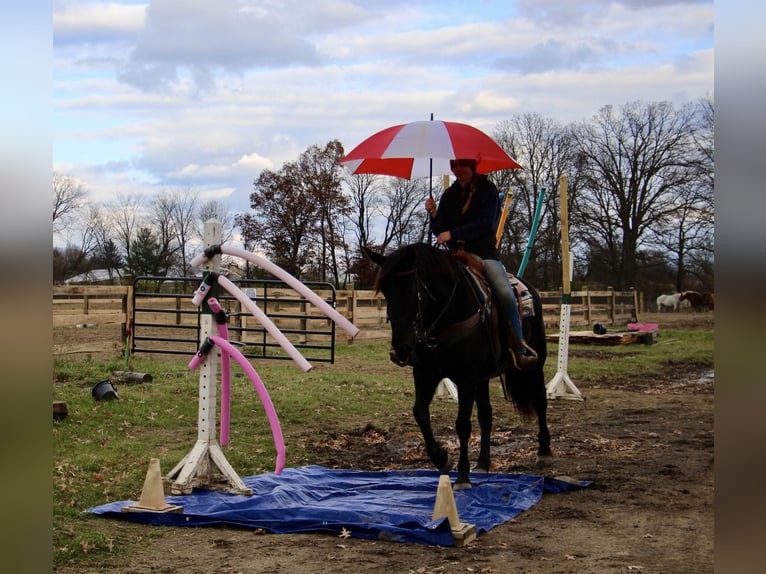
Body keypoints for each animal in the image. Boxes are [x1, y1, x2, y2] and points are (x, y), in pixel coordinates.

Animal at [364, 243, 552, 490]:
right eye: (385, 291)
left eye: (410, 289)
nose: (401, 348)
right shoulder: (425, 373)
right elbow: (420, 413)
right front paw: (442, 459)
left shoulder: (466, 379)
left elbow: (462, 424)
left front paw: (462, 476)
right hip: (483, 379)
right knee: (486, 415)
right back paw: (483, 463)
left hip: (535, 365)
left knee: (540, 401)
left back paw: (544, 452)